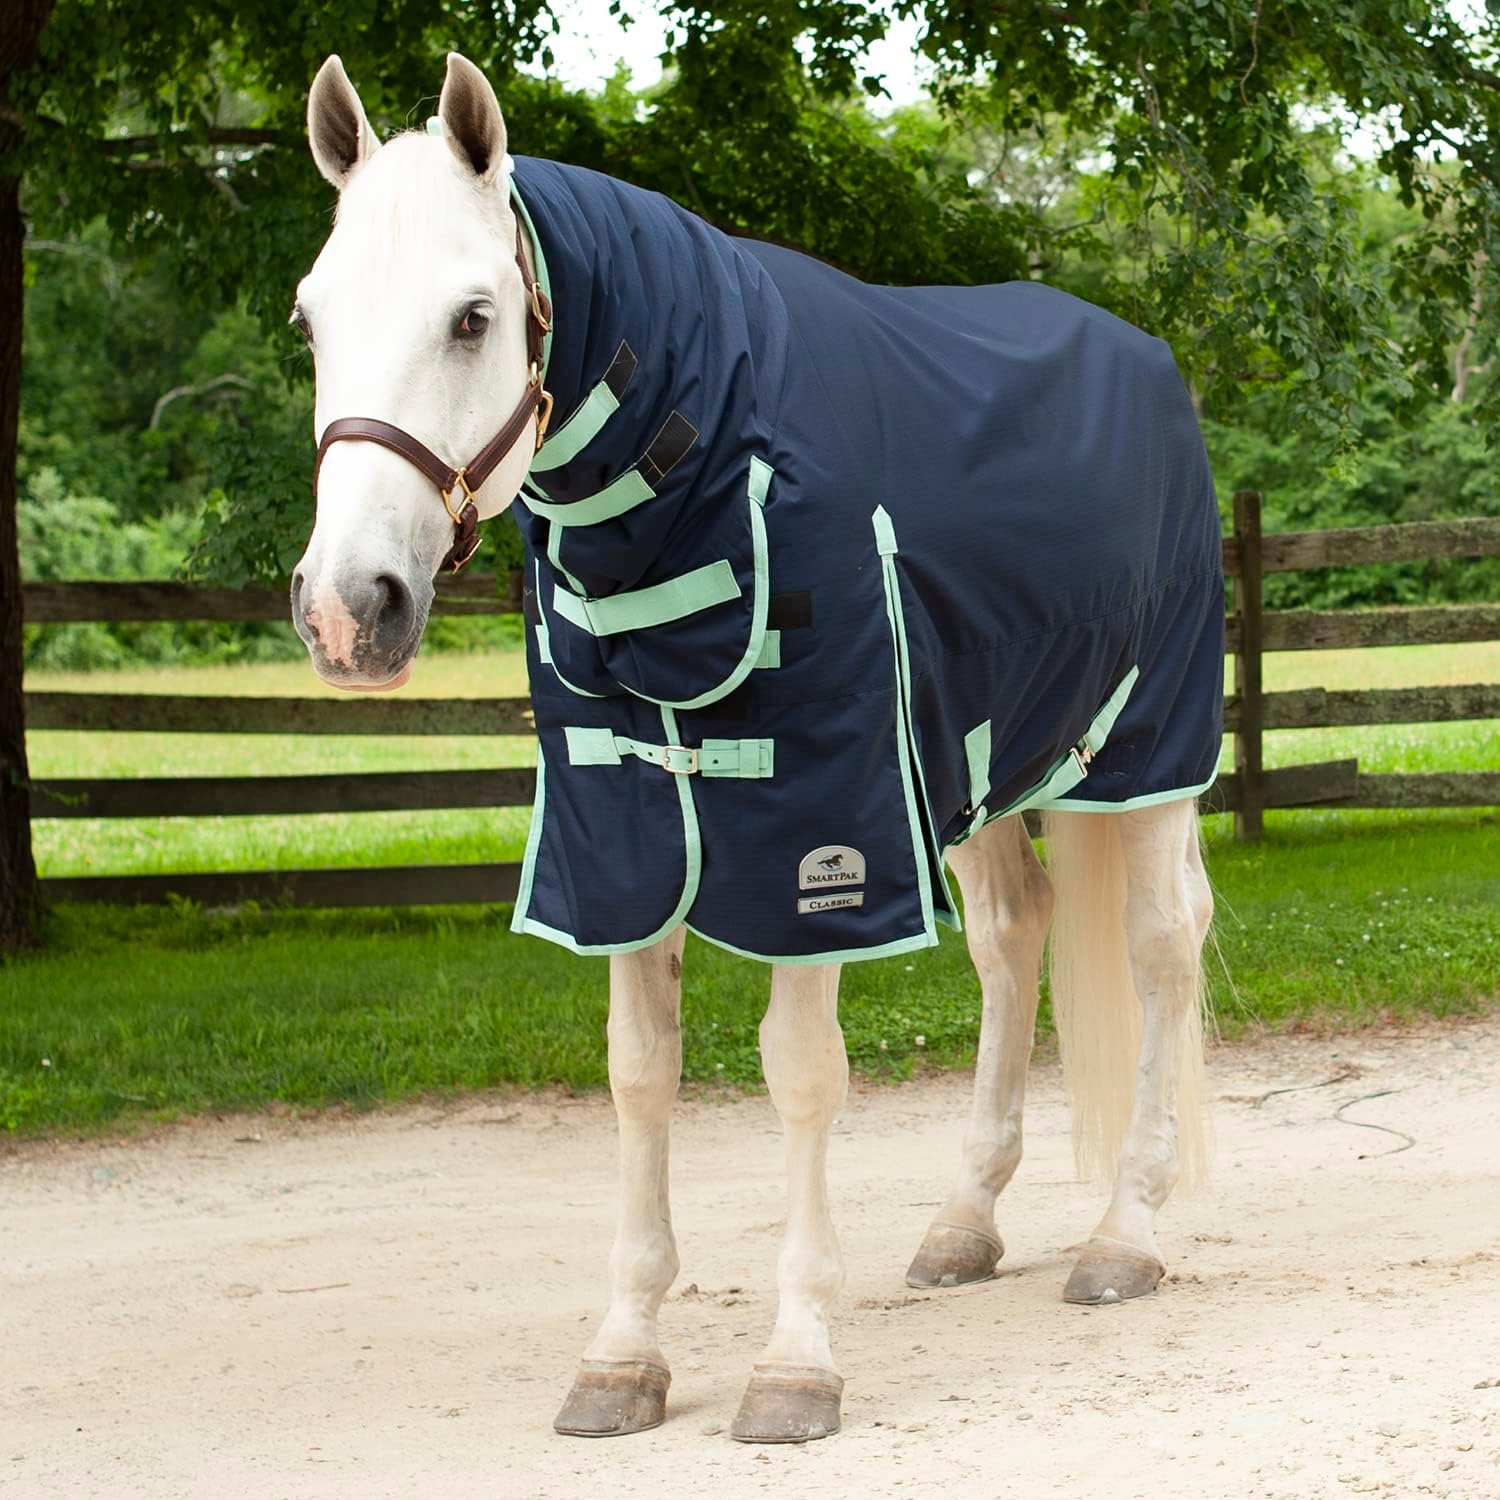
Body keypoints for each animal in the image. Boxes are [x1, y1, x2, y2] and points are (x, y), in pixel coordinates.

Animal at [290, 51, 1219, 1445]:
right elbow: (638, 1077)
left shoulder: (826, 836)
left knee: (1163, 945)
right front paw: (621, 1356)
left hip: (1146, 755)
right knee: (1016, 938)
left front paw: (796, 1362)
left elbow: (801, 1078)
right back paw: (965, 1224)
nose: (351, 611)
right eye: (310, 321)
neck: (711, 462)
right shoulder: (622, 836)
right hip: (986, 766)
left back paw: (1124, 1235)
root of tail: (1149, 362)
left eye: (470, 317)